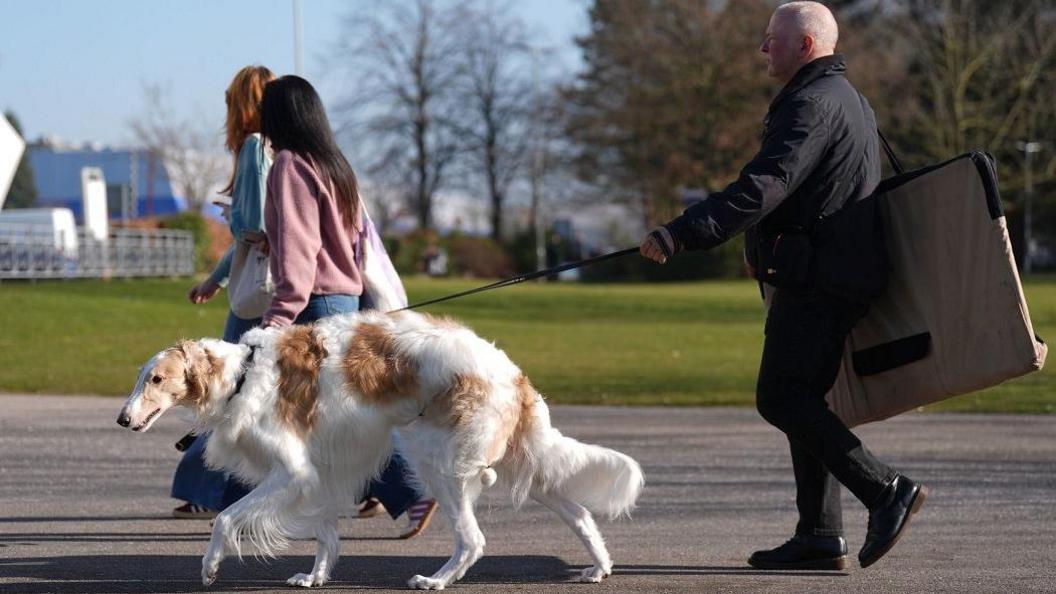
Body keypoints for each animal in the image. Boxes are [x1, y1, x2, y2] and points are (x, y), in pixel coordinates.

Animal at [115, 306, 642, 583]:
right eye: (140, 377)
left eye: (156, 379)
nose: (122, 418)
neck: (242, 374)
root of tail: (513, 372)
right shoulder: (318, 473)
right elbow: (325, 533)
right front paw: (316, 577)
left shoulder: (292, 471)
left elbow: (226, 518)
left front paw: (210, 566)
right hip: (522, 464)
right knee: (579, 513)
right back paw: (599, 567)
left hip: (438, 462)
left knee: (473, 539)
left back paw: (436, 580)